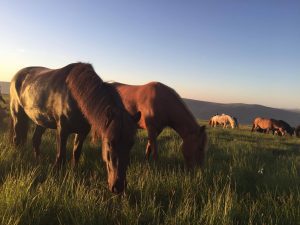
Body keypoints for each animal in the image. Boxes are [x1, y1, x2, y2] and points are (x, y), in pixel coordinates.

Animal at [9, 62, 141, 193]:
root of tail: (16, 76)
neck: (74, 95)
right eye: (109, 143)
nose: (118, 187)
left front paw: (73, 172)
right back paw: (20, 157)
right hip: (17, 114)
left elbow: (76, 153)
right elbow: (61, 156)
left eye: (131, 144)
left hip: (41, 121)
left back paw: (38, 160)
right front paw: (57, 176)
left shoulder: (82, 132)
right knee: (17, 139)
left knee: (36, 140)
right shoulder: (62, 130)